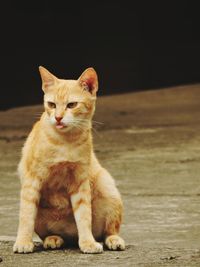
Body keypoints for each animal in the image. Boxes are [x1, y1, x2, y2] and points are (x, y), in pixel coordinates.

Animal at [12, 66, 125, 254]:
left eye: (72, 105)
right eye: (51, 105)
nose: (58, 117)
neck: (66, 141)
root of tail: (71, 237)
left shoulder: (80, 181)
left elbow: (84, 216)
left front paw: (87, 243)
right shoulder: (32, 180)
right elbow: (26, 215)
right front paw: (23, 241)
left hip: (107, 187)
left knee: (109, 230)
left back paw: (113, 240)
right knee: (48, 233)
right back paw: (53, 238)